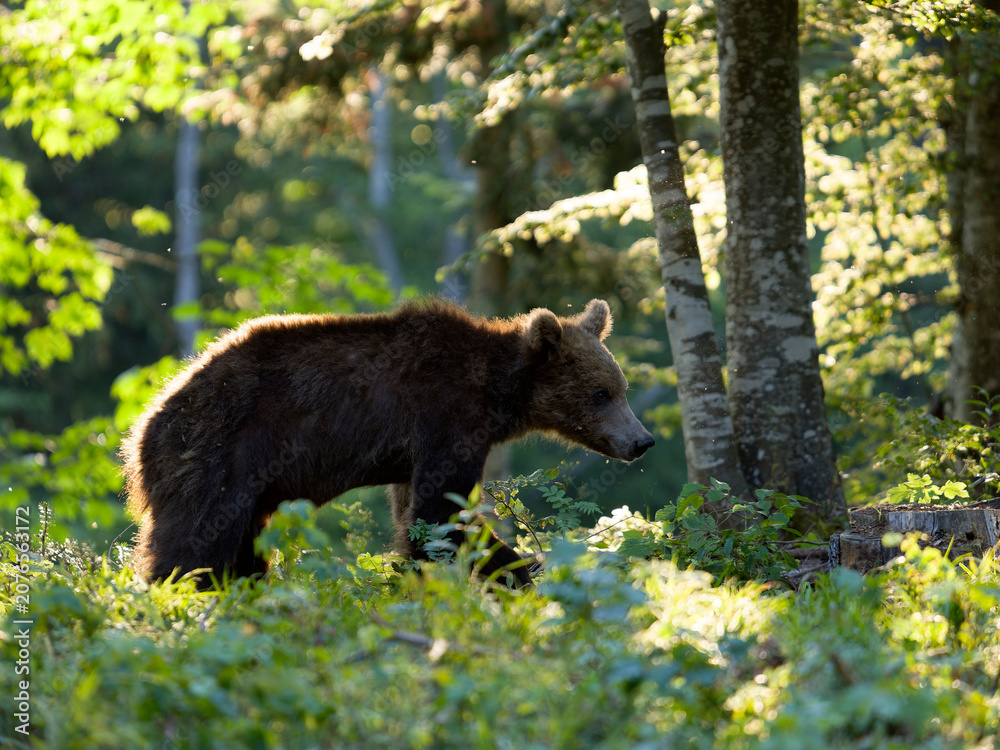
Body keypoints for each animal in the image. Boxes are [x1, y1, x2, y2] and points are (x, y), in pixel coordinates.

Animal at [121, 298, 654, 589]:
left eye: (622, 387)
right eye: (601, 393)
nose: (642, 441)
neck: (497, 393)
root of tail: (140, 429)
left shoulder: (414, 453)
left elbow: (414, 515)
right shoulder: (445, 418)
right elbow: (440, 517)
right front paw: (519, 568)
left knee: (242, 550)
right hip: (217, 452)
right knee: (195, 540)